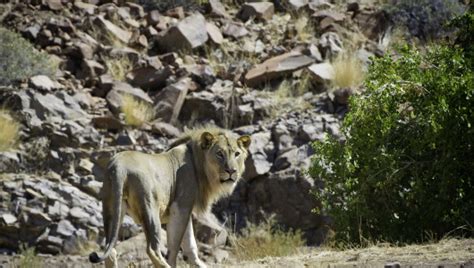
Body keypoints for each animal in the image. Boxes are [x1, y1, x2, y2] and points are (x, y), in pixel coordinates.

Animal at [89, 126, 252, 268]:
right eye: (219, 153)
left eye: (237, 154)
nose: (231, 171)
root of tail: (119, 166)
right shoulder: (180, 207)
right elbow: (175, 246)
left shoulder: (186, 211)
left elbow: (190, 244)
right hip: (150, 209)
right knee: (152, 250)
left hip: (111, 209)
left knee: (110, 251)